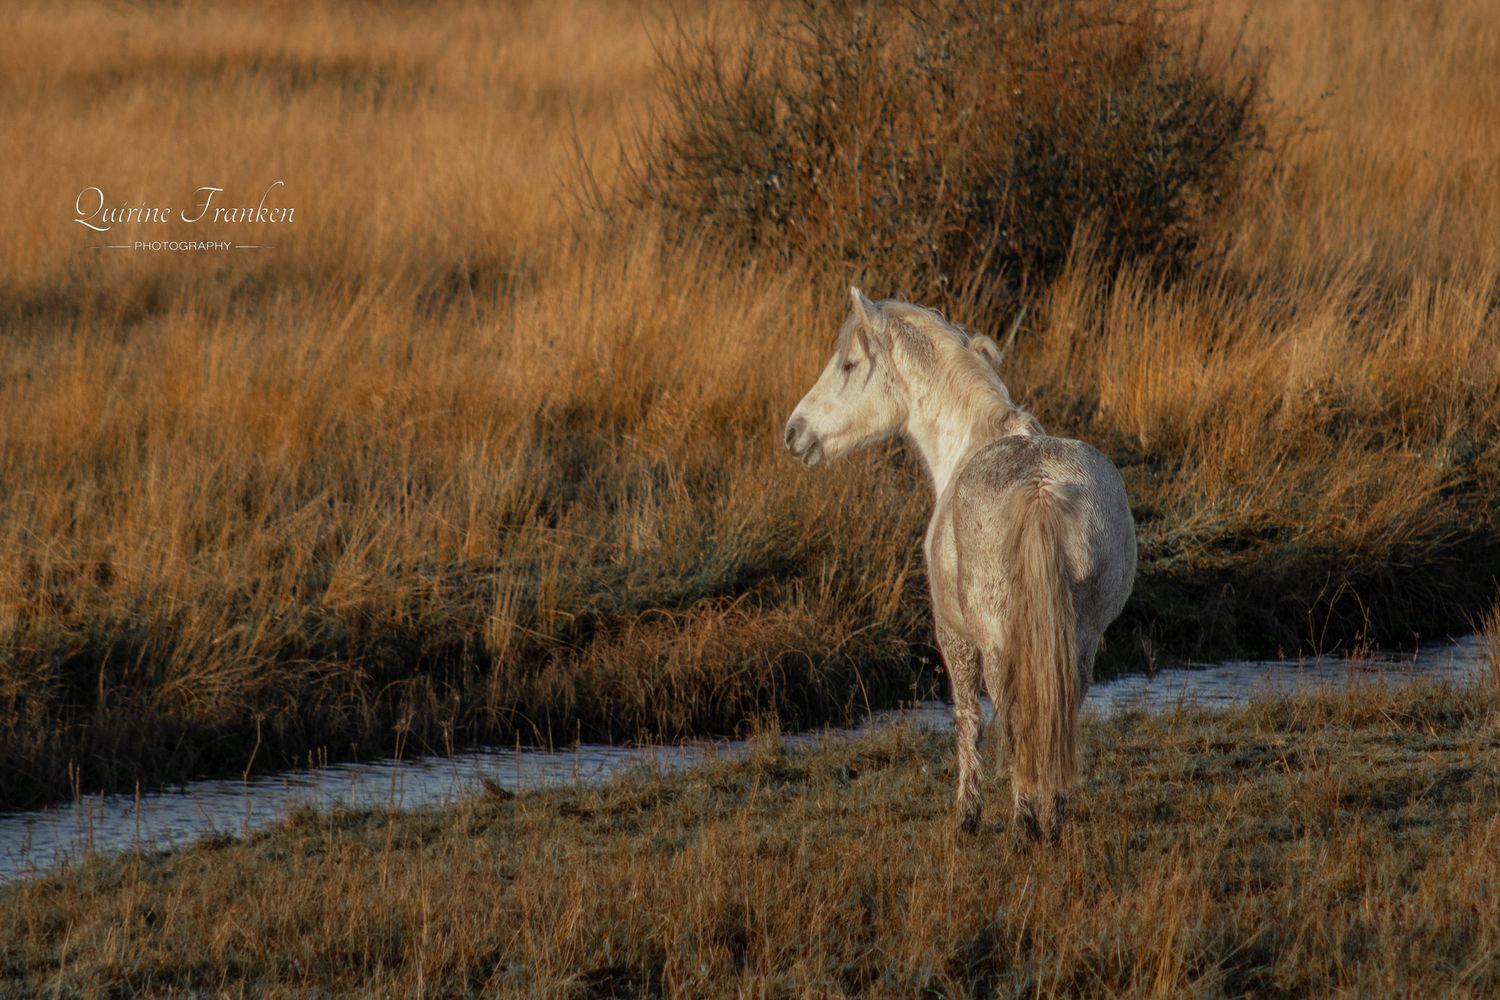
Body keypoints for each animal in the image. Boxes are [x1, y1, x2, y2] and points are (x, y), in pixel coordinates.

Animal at [784, 288, 1136, 843]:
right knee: (1059, 710)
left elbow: (968, 718)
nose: (794, 432)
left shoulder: (954, 636)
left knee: (1015, 716)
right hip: (1081, 639)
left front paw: (967, 815)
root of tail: (1042, 489)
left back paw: (1023, 824)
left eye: (849, 364)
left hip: (998, 641)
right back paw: (1051, 818)